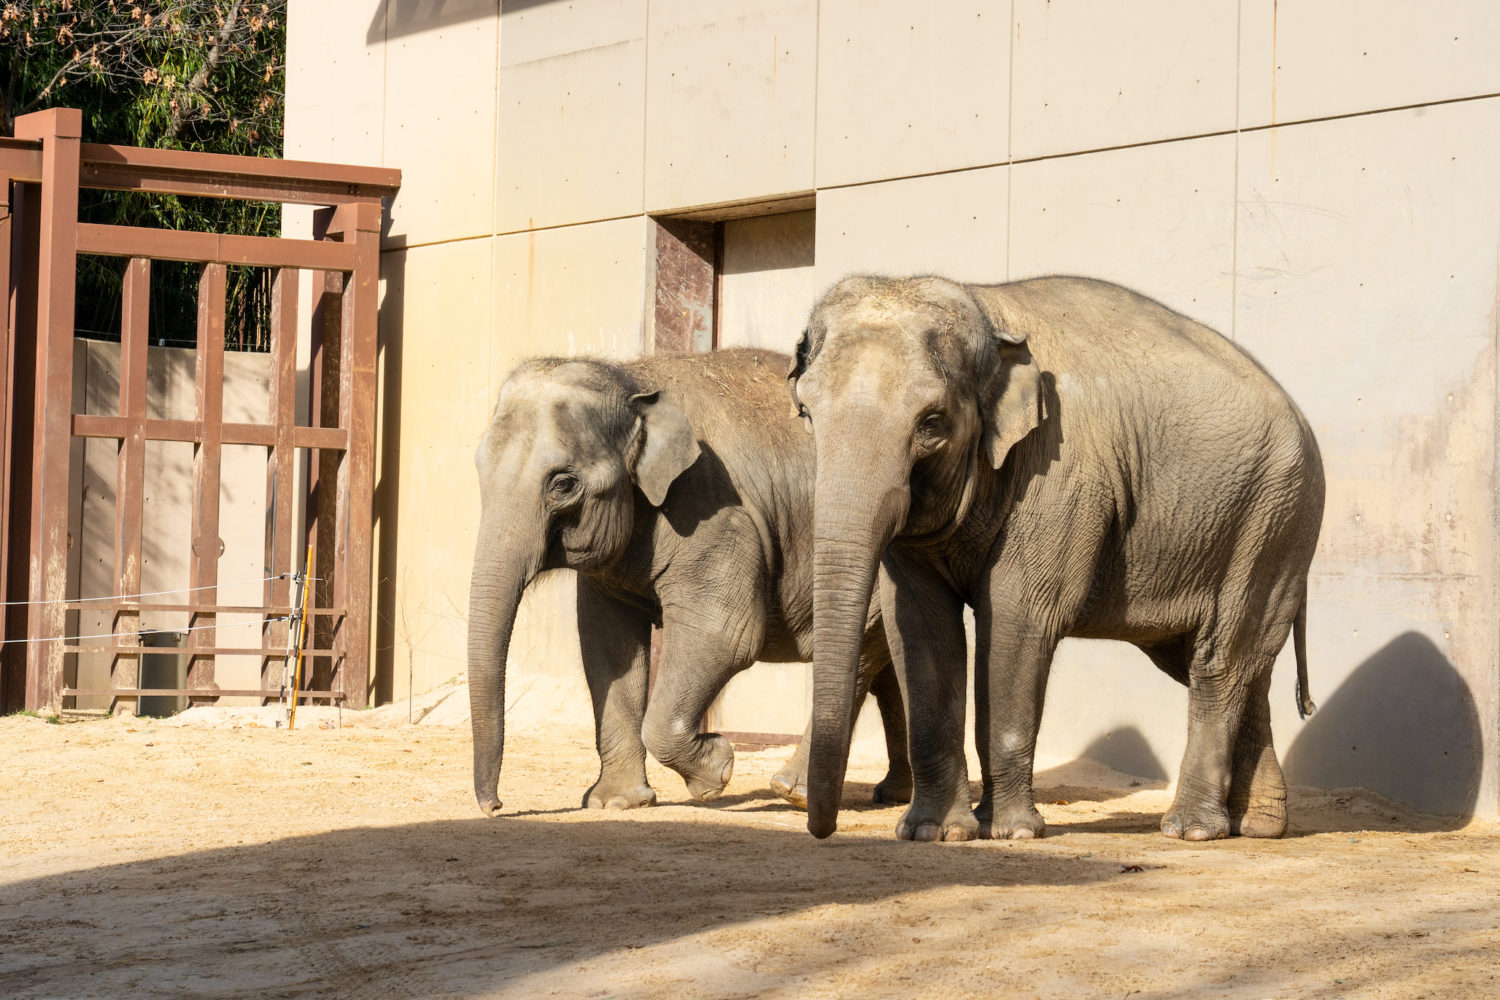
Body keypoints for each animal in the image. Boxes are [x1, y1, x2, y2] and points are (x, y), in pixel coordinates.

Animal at [468, 347, 913, 816]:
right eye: (479, 468)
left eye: (563, 484)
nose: (496, 806)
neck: (635, 381)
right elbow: (608, 646)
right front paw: (615, 803)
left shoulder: (713, 513)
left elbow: (725, 636)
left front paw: (717, 770)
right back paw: (894, 793)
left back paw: (793, 793)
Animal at [787, 274, 1324, 843]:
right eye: (806, 413)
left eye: (932, 422)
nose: (822, 829)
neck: (987, 310)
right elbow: (918, 625)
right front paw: (932, 833)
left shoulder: (1058, 473)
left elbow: (1017, 619)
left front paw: (1011, 834)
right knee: (1232, 665)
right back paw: (1259, 825)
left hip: (1274, 520)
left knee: (1219, 661)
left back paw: (1191, 830)